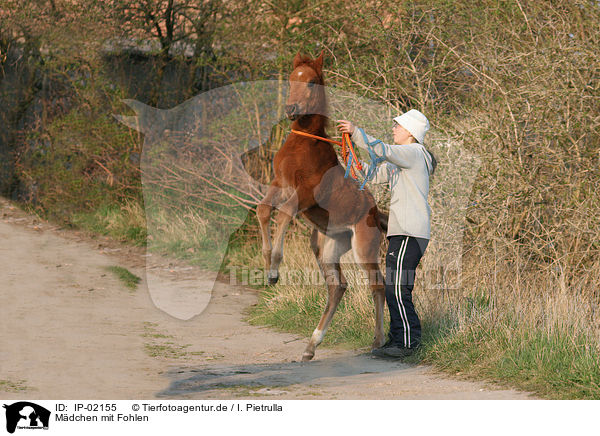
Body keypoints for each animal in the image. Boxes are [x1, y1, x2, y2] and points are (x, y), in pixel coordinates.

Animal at [255, 50, 386, 362]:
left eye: (312, 81)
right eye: (292, 78)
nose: (291, 109)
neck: (303, 146)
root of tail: (377, 213)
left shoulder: (305, 194)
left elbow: (285, 213)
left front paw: (275, 269)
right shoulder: (280, 184)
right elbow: (263, 210)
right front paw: (266, 265)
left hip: (364, 248)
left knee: (377, 285)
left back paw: (377, 341)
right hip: (326, 247)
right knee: (338, 287)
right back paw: (310, 347)